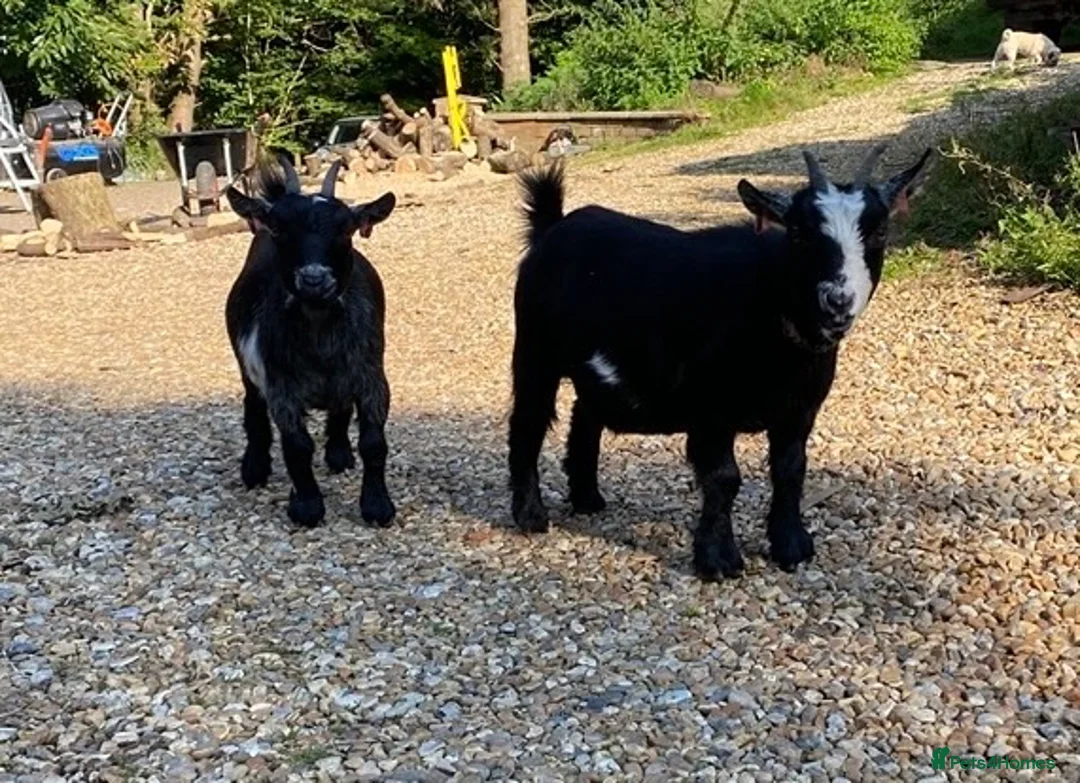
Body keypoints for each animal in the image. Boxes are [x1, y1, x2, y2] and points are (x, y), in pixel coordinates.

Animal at [224, 155, 398, 528]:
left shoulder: (372, 378)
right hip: (246, 365)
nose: (314, 279)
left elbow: (373, 443)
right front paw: (307, 507)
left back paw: (339, 453)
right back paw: (254, 468)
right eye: (279, 228)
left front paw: (377, 506)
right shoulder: (281, 387)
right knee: (252, 405)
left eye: (346, 229)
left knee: (340, 407)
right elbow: (297, 446)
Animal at [507, 145, 931, 580]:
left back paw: (587, 497)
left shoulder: (798, 412)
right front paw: (718, 560)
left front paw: (792, 546)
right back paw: (530, 515)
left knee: (585, 415)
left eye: (879, 232)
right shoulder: (710, 411)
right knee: (529, 419)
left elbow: (790, 470)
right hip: (534, 350)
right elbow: (724, 478)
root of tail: (552, 228)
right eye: (799, 233)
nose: (838, 301)